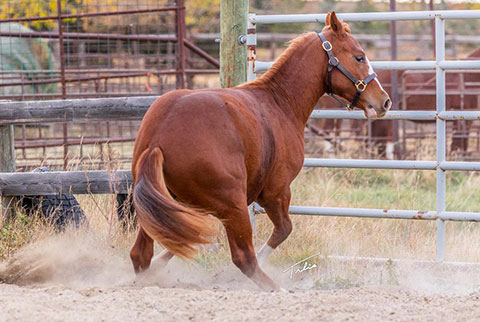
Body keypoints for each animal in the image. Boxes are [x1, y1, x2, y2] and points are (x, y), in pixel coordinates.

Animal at [130, 11, 390, 290]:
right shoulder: (276, 191)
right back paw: (276, 288)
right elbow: (283, 230)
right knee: (244, 258)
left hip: (163, 203)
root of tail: (158, 139)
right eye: (359, 57)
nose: (384, 101)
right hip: (233, 206)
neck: (279, 102)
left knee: (141, 253)